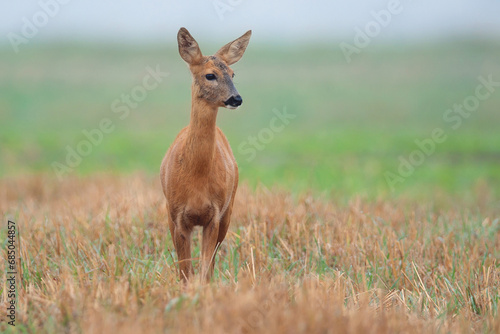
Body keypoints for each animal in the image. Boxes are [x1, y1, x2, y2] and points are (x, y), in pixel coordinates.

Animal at [162, 26, 252, 282]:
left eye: (233, 73)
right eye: (210, 75)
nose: (236, 98)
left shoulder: (214, 215)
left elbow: (204, 270)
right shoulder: (177, 216)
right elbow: (184, 272)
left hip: (229, 210)